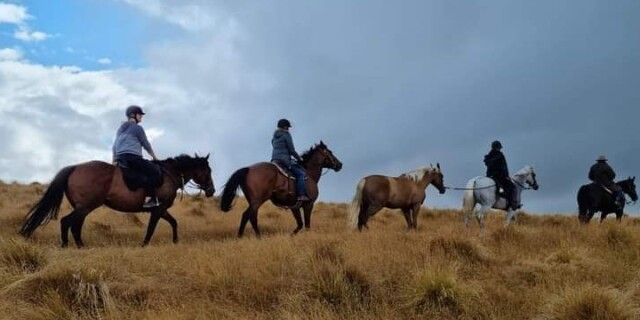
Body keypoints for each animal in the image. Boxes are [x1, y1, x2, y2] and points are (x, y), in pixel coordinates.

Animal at [18, 154, 215, 248]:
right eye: (208, 171)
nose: (211, 191)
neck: (169, 174)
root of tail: (75, 168)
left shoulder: (162, 209)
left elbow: (174, 222)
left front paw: (175, 241)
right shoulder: (158, 209)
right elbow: (151, 229)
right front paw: (143, 245)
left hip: (83, 207)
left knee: (74, 225)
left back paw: (79, 246)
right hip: (86, 206)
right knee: (67, 222)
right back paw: (69, 246)